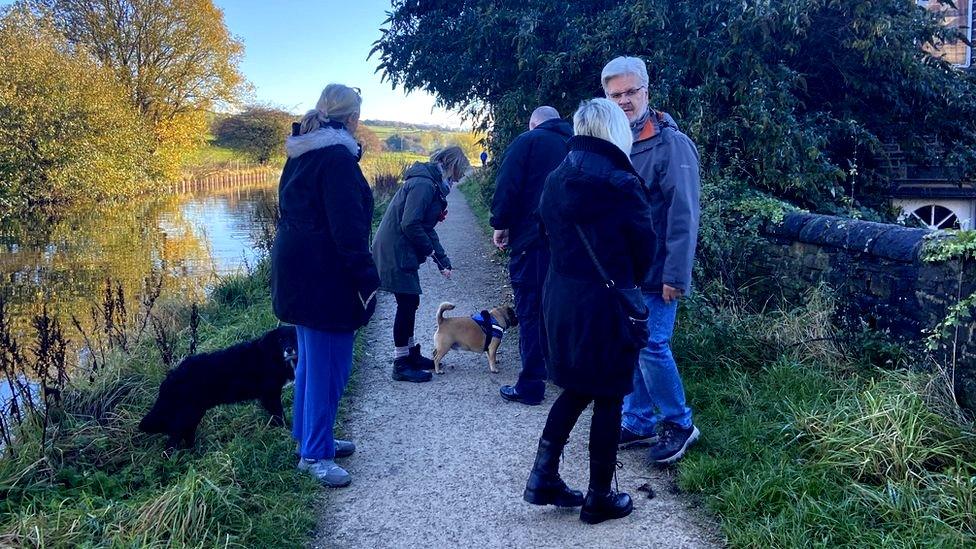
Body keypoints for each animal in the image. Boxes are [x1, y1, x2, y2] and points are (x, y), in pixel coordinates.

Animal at [138, 326, 298, 446]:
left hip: (194, 413)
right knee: (171, 444)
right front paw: (285, 431)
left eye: (294, 337)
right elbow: (279, 416)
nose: (289, 349)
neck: (270, 355)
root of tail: (171, 377)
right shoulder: (270, 395)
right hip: (187, 415)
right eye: (280, 339)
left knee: (187, 437)